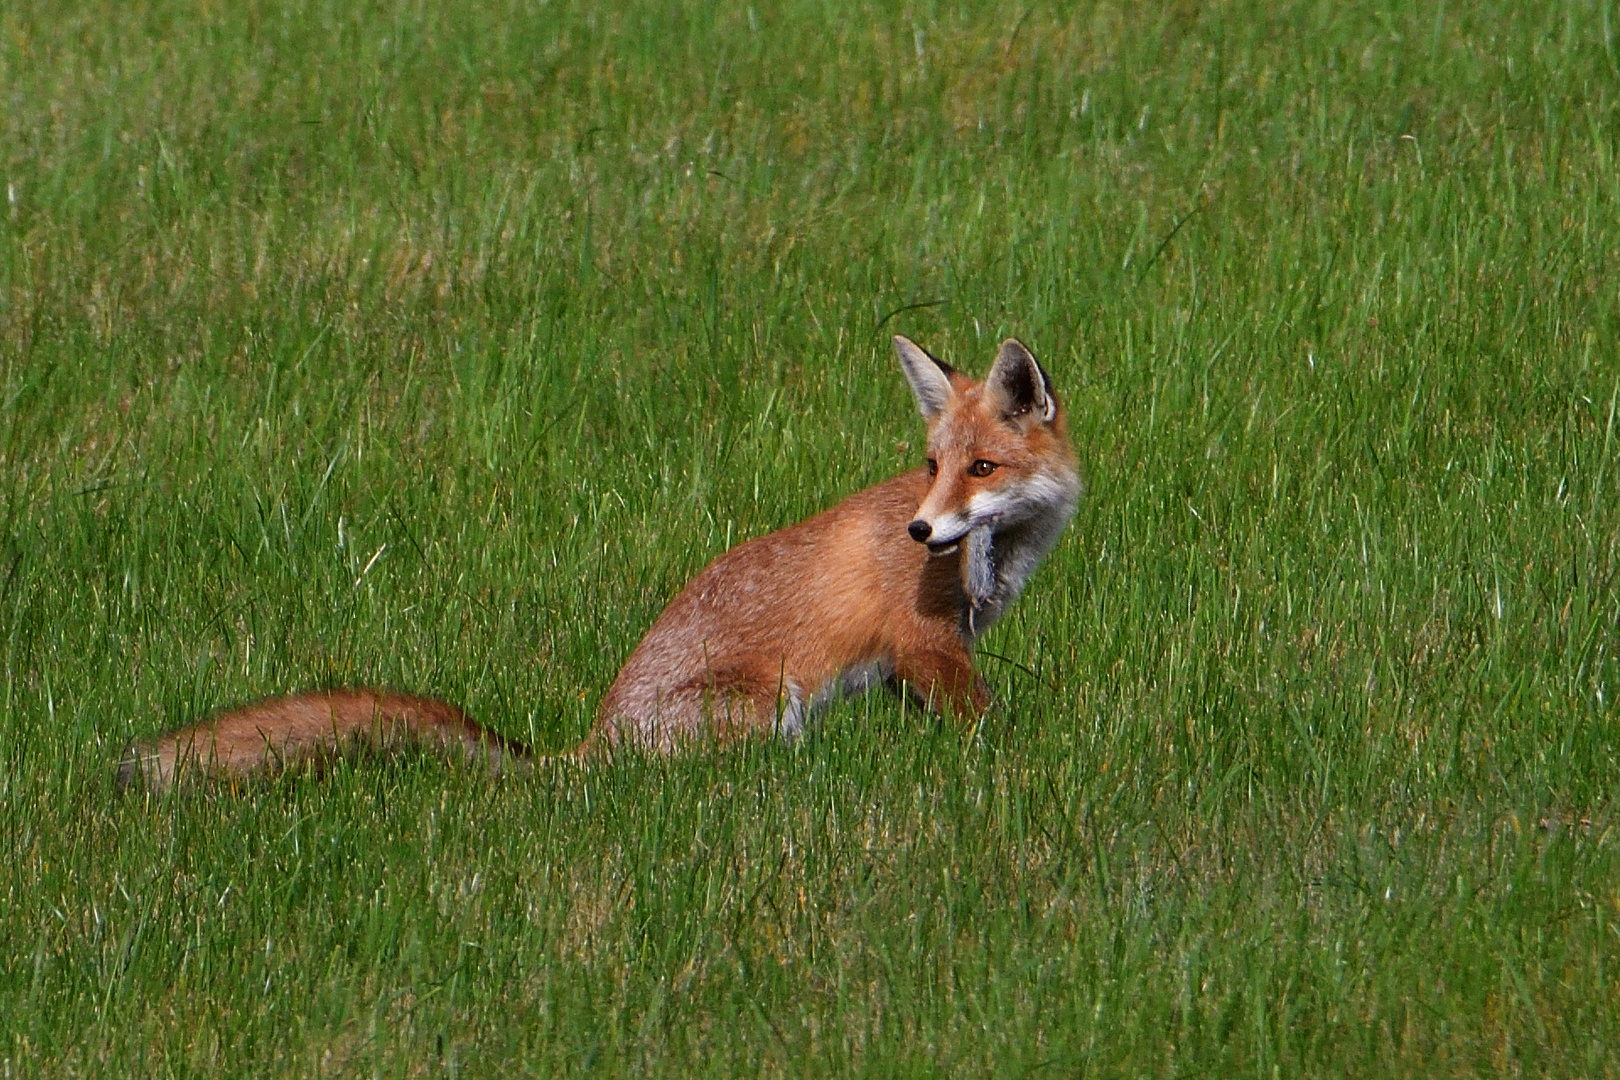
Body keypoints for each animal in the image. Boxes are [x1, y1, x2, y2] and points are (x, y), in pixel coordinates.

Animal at [119, 340, 1082, 793]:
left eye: (980, 468)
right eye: (932, 464)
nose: (922, 532)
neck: (995, 557)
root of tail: (593, 743)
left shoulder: (914, 663)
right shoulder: (925, 644)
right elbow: (993, 728)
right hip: (767, 706)